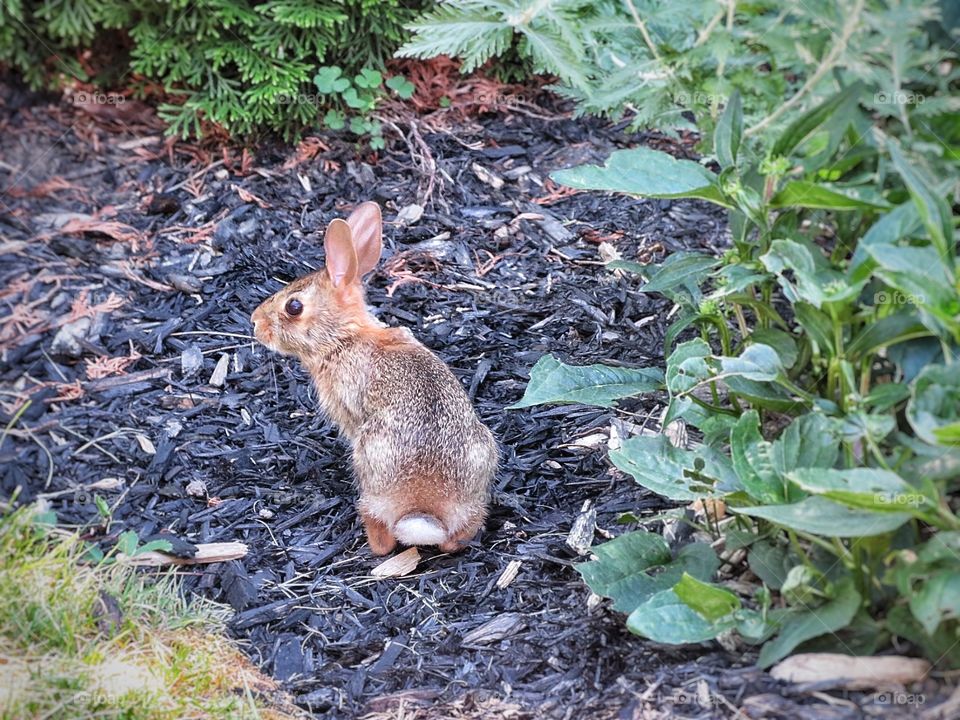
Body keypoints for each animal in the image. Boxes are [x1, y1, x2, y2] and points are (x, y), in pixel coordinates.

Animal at [250, 202, 498, 555]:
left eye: (294, 306)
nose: (255, 322)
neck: (343, 338)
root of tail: (423, 506)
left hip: (368, 460)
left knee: (381, 534)